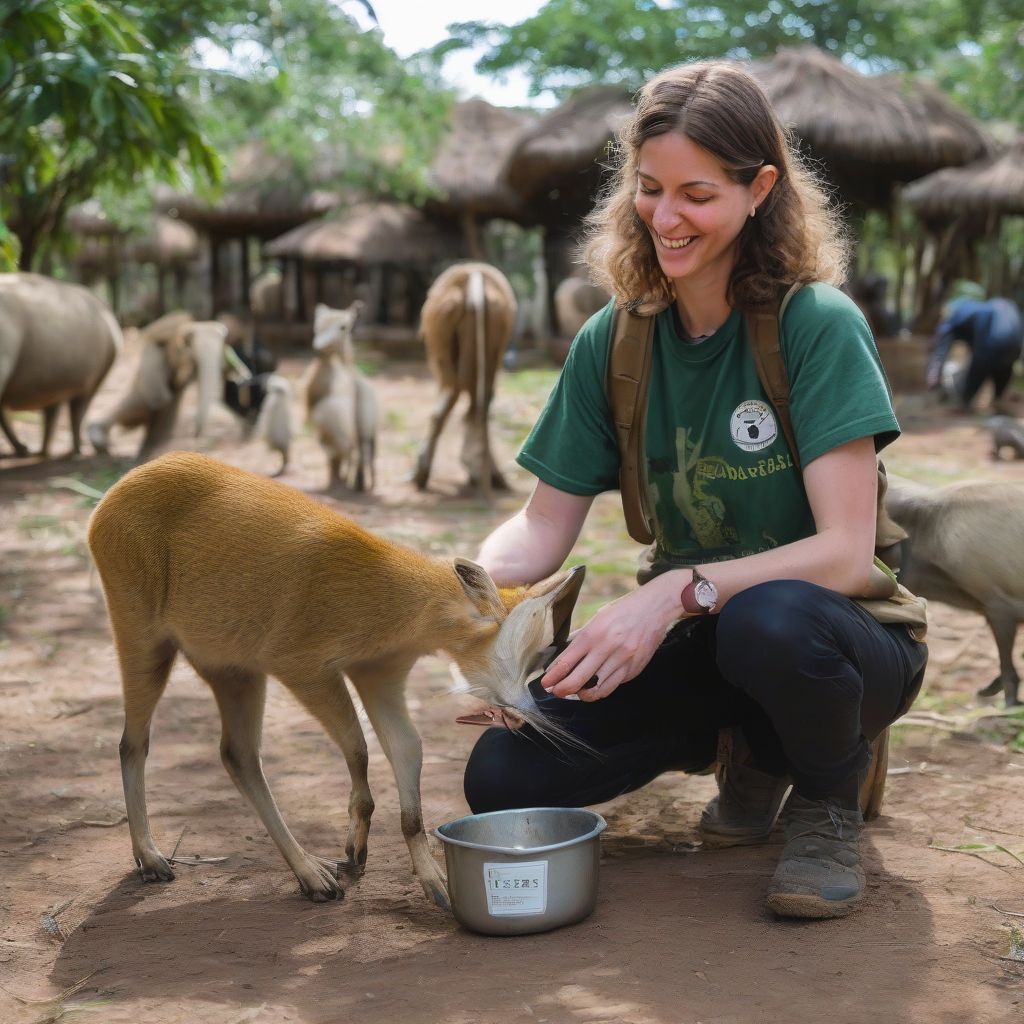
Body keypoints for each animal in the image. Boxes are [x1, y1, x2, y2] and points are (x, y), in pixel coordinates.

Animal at [88, 452, 585, 909]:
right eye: (529, 652)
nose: (529, 717)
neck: (389, 594)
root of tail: (113, 498)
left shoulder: (379, 676)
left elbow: (407, 752)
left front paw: (433, 883)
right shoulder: (305, 669)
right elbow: (360, 748)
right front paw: (355, 848)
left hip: (232, 671)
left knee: (238, 755)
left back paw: (309, 872)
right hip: (145, 639)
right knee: (134, 742)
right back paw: (157, 859)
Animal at [409, 262, 516, 501]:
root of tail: (473, 278)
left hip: (440, 333)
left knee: (453, 393)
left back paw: (421, 476)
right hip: (488, 326)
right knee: (479, 401)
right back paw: (487, 476)